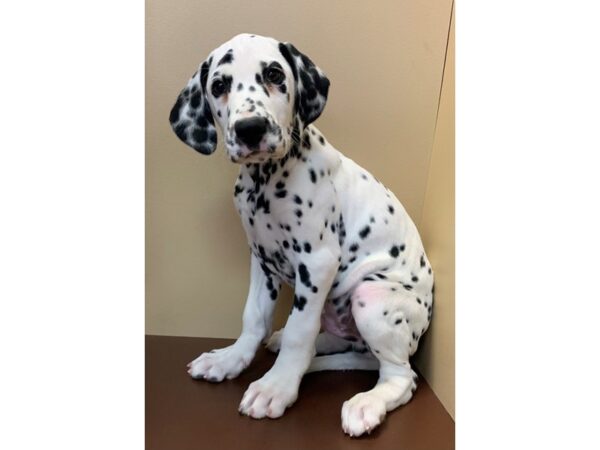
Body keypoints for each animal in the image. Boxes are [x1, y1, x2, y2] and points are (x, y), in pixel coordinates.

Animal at [168, 33, 432, 438]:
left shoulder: (317, 261)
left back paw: (366, 402)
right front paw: (231, 359)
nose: (250, 128)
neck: (266, 179)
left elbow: (299, 329)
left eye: (275, 74)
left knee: (400, 376)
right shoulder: (261, 260)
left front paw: (276, 387)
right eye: (219, 86)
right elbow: (254, 317)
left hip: (370, 296)